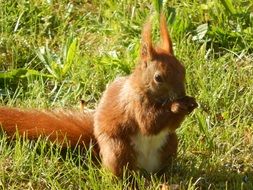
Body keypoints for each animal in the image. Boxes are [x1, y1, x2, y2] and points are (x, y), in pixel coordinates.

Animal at [0, 14, 198, 177]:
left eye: (183, 69)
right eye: (158, 78)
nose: (180, 94)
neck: (148, 92)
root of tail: (145, 170)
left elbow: (168, 125)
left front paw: (190, 102)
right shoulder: (134, 104)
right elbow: (149, 123)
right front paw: (176, 106)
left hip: (170, 144)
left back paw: (167, 176)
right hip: (118, 149)